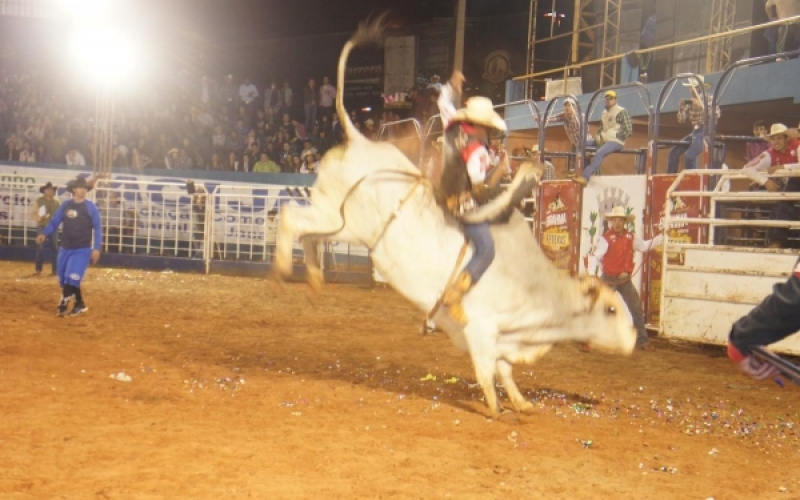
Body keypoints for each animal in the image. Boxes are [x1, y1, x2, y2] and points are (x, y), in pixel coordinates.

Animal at [276, 18, 636, 418]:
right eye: (610, 309)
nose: (634, 340)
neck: (536, 292)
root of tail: (360, 140)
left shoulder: (501, 337)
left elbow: (504, 370)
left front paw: (521, 402)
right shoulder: (482, 330)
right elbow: (487, 371)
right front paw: (495, 408)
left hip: (338, 222)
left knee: (309, 234)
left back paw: (314, 277)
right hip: (341, 219)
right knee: (291, 218)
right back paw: (285, 267)